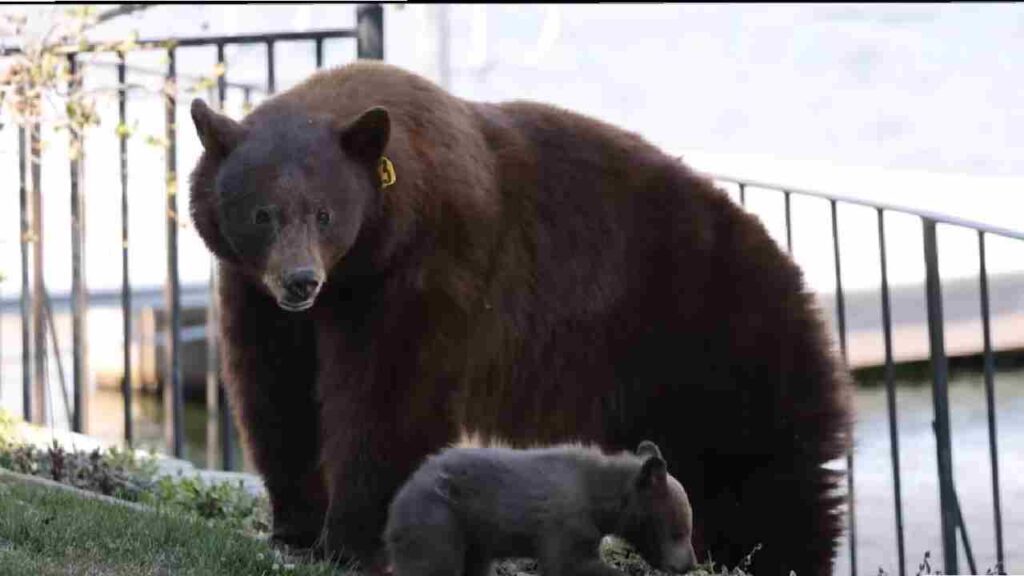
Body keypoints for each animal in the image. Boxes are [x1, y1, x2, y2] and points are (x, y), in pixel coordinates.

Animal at [385, 440, 696, 576]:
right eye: (681, 531)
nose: (689, 564)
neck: (598, 497)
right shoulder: (566, 520)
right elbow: (569, 563)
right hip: (437, 521)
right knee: (433, 565)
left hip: (472, 538)